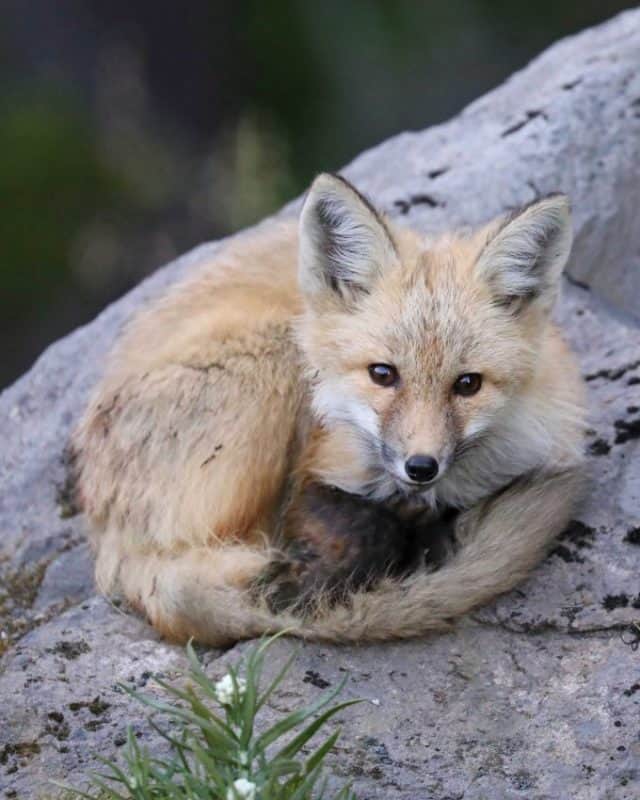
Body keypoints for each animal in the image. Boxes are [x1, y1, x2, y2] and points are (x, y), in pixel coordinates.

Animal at [74, 173, 584, 644]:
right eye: (383, 374)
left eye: (467, 384)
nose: (421, 466)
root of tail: (106, 532)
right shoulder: (316, 474)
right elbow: (351, 528)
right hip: (278, 356)